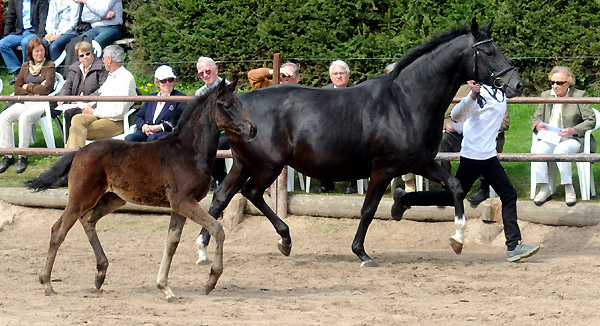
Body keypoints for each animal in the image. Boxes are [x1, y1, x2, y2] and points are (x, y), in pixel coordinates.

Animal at [197, 18, 520, 268]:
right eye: (489, 51)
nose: (517, 84)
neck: (405, 102)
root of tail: (237, 106)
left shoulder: (422, 162)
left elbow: (454, 187)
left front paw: (457, 239)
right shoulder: (383, 169)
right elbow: (368, 209)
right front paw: (361, 253)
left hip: (242, 164)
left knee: (220, 198)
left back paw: (203, 250)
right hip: (267, 166)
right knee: (251, 193)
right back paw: (284, 240)